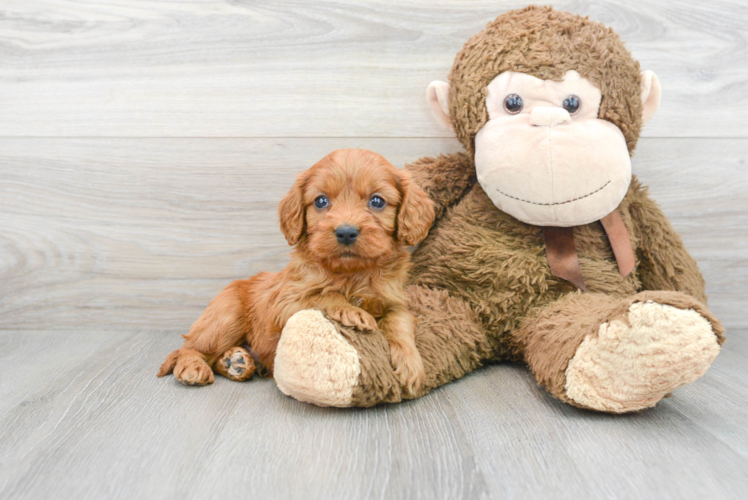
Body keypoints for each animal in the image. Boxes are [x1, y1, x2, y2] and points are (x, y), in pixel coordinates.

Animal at [159, 148, 438, 394]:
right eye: (321, 201)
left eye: (377, 201)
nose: (346, 232)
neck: (351, 273)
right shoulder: (286, 304)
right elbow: (323, 295)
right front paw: (351, 311)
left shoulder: (395, 302)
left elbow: (399, 324)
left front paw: (411, 365)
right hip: (226, 316)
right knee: (190, 347)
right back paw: (194, 367)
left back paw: (237, 362)